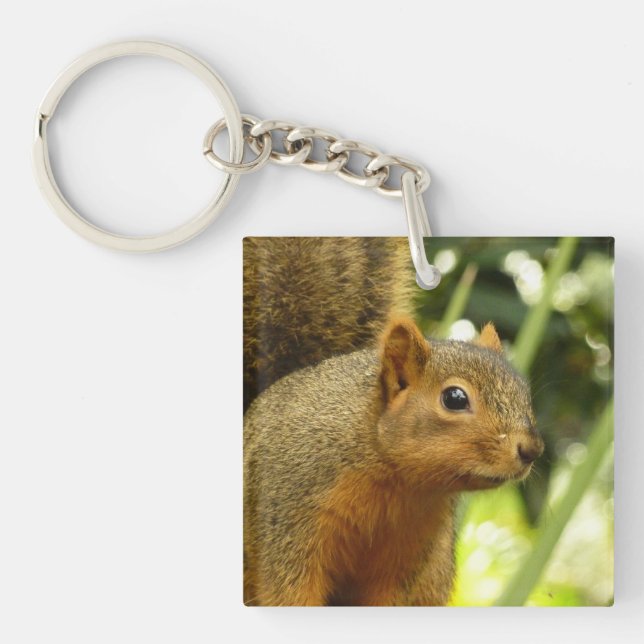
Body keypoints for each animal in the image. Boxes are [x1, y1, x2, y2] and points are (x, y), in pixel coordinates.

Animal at [243, 237, 543, 606]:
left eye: (523, 390)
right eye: (455, 398)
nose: (532, 449)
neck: (398, 483)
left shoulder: (411, 552)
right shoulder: (288, 518)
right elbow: (289, 591)